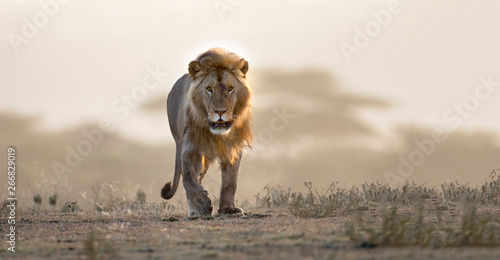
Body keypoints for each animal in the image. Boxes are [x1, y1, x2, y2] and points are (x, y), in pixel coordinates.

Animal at [161, 47, 252, 216]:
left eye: (230, 88)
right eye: (209, 89)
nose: (220, 111)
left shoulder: (233, 147)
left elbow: (230, 180)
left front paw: (228, 209)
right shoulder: (189, 145)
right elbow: (188, 178)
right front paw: (201, 206)